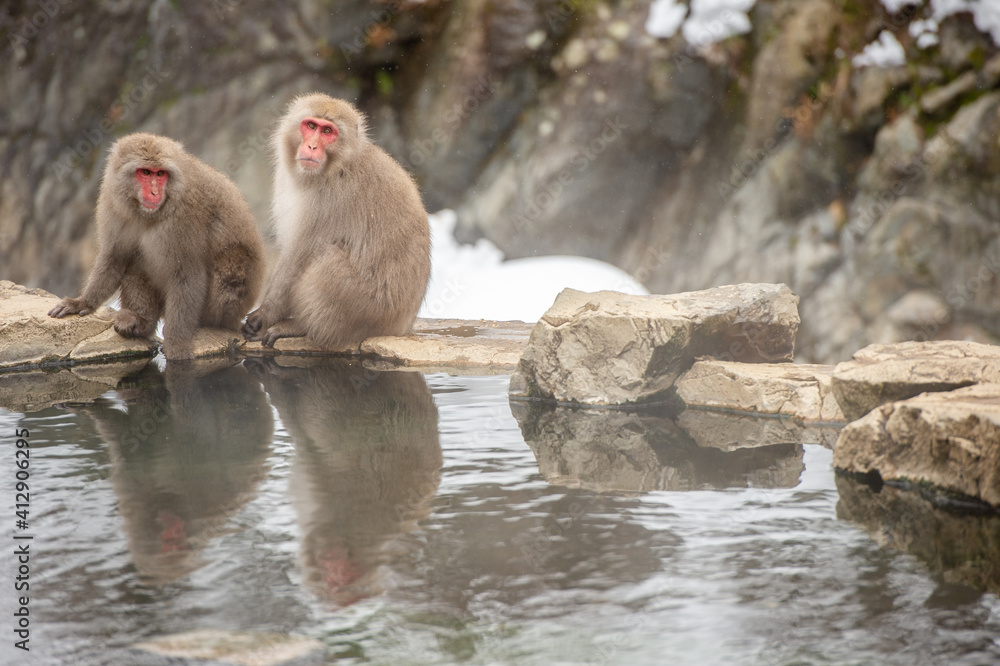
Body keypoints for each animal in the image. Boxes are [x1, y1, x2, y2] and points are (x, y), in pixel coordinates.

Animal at [48, 133, 265, 360]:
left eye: (160, 174)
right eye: (145, 172)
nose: (154, 192)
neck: (148, 213)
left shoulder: (186, 215)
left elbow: (188, 273)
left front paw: (177, 345)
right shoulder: (113, 202)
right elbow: (115, 256)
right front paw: (83, 303)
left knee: (232, 262)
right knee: (136, 260)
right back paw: (141, 323)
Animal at [242, 93, 431, 350]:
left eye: (327, 131)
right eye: (312, 126)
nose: (312, 146)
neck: (335, 166)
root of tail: (402, 326)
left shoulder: (329, 200)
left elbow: (298, 258)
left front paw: (264, 316)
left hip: (368, 309)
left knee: (328, 258)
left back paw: (301, 326)